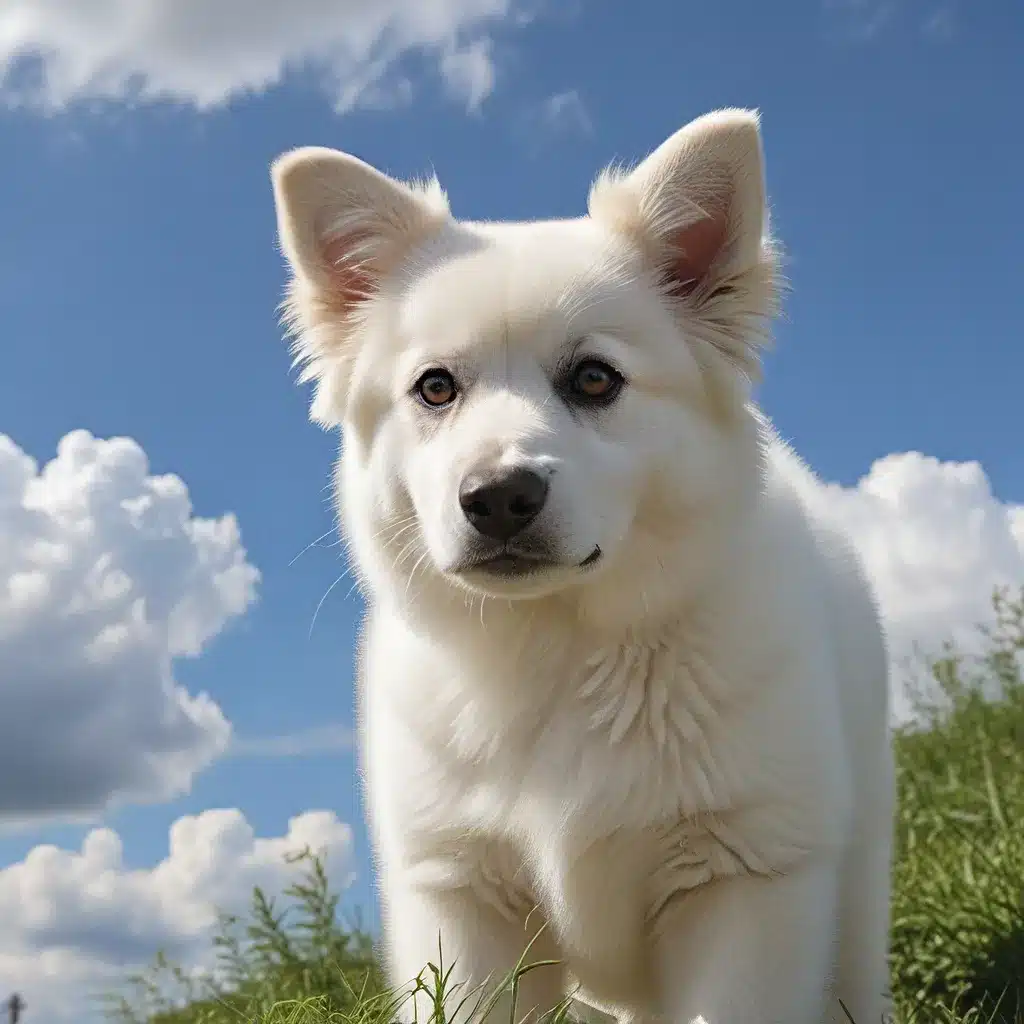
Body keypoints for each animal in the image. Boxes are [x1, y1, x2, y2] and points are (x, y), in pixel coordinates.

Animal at [270, 112, 888, 1024]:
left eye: (596, 379)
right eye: (434, 388)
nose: (497, 497)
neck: (558, 650)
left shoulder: (743, 877)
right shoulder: (462, 896)